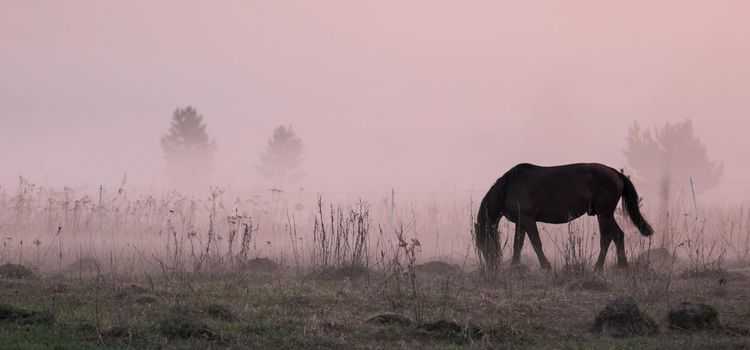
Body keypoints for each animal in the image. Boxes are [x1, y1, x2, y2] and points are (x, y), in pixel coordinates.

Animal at [478, 163, 656, 272]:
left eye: (484, 243)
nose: (492, 266)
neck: (509, 187)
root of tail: (615, 172)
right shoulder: (521, 222)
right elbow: (518, 244)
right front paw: (515, 266)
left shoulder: (528, 220)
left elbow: (536, 243)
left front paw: (546, 266)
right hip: (606, 214)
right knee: (618, 235)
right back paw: (622, 266)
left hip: (603, 214)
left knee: (606, 238)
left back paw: (598, 267)